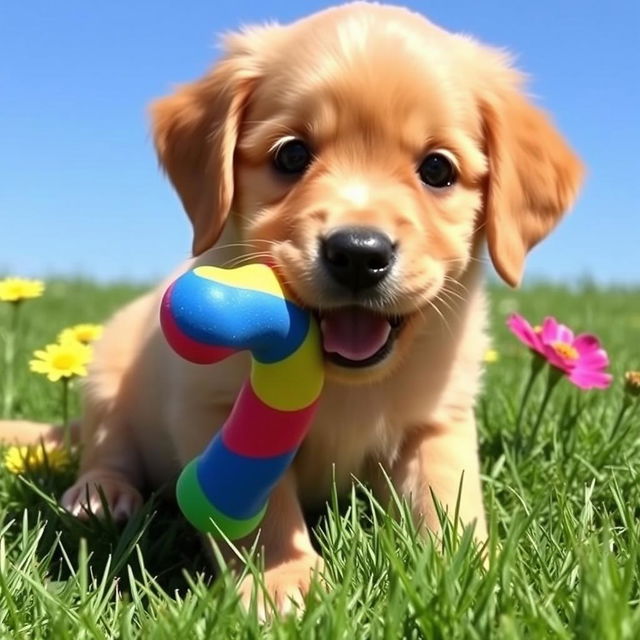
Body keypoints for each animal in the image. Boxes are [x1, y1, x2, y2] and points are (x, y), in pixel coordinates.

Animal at [56, 0, 580, 608]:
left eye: (437, 169)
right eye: (292, 155)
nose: (357, 253)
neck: (348, 384)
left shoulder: (440, 418)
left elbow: (448, 497)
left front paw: (473, 575)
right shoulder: (213, 408)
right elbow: (263, 510)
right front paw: (284, 582)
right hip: (107, 371)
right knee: (107, 445)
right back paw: (101, 494)